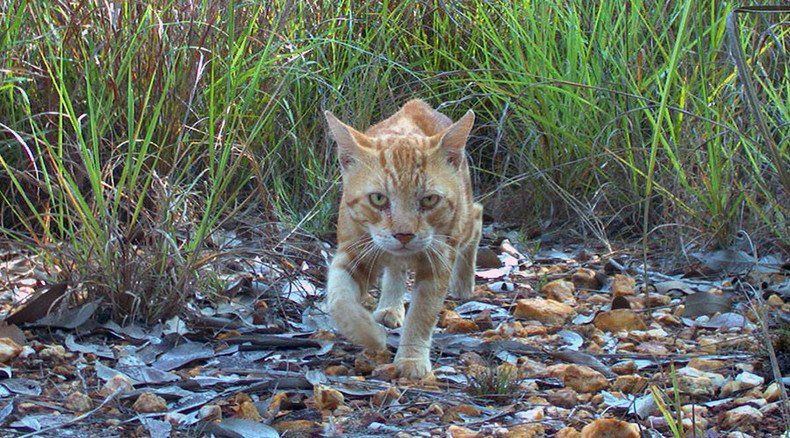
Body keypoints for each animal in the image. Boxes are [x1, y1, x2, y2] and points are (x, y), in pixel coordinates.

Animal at [322, 100, 482, 380]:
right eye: (378, 199)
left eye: (429, 200)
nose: (404, 234)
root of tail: (416, 104)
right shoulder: (353, 251)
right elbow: (339, 300)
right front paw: (371, 336)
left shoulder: (438, 260)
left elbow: (422, 313)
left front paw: (411, 357)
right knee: (395, 269)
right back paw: (390, 306)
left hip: (462, 224)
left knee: (478, 215)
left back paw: (463, 282)